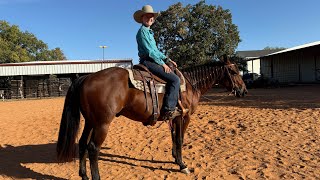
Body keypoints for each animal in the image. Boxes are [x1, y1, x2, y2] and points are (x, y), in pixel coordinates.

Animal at [57, 59, 248, 180]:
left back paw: (84, 175)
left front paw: (175, 158)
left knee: (82, 144)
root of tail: (86, 77)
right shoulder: (184, 117)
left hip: (90, 122)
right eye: (233, 71)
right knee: (93, 148)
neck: (189, 85)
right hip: (102, 124)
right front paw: (182, 165)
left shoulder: (174, 118)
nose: (244, 91)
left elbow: (174, 138)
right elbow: (180, 139)